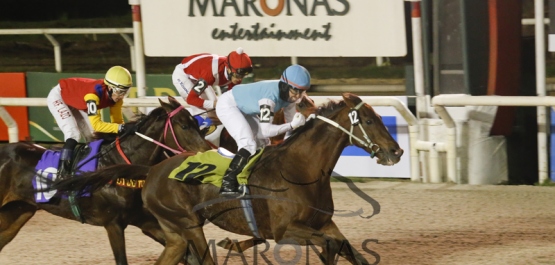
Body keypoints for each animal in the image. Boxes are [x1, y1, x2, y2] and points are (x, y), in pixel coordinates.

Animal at [0, 96, 212, 264]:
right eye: (184, 126)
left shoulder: (145, 221)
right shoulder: (113, 224)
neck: (120, 165)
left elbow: (188, 255)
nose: (206, 152)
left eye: (197, 124)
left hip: (17, 211)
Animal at [47, 92, 404, 262]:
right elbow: (329, 246)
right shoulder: (286, 230)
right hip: (188, 224)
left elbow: (349, 250)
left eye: (379, 117)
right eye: (368, 121)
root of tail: (152, 169)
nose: (396, 151)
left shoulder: (324, 223)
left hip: (173, 231)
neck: (300, 169)